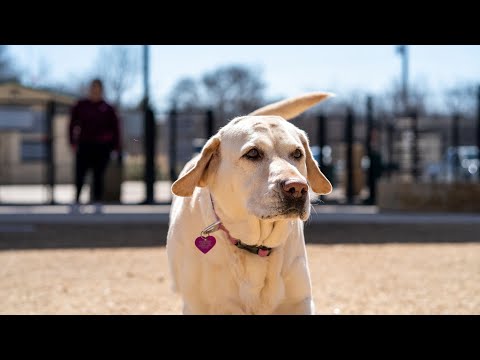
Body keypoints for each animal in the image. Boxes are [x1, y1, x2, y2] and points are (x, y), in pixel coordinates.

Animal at [167, 93, 332, 316]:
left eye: (298, 154)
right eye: (253, 153)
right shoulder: (198, 306)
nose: (297, 188)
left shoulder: (299, 303)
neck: (255, 244)